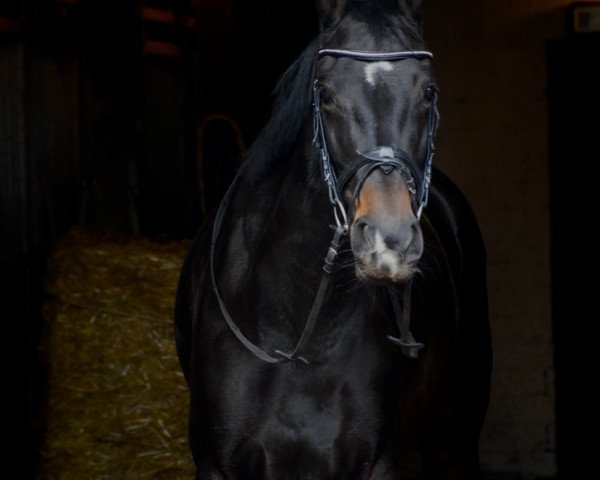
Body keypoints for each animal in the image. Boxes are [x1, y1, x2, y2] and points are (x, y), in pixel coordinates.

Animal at [175, 1, 492, 478]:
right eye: (324, 95)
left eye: (429, 92)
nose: (387, 242)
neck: (294, 334)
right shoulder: (216, 465)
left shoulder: (376, 463)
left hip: (454, 438)